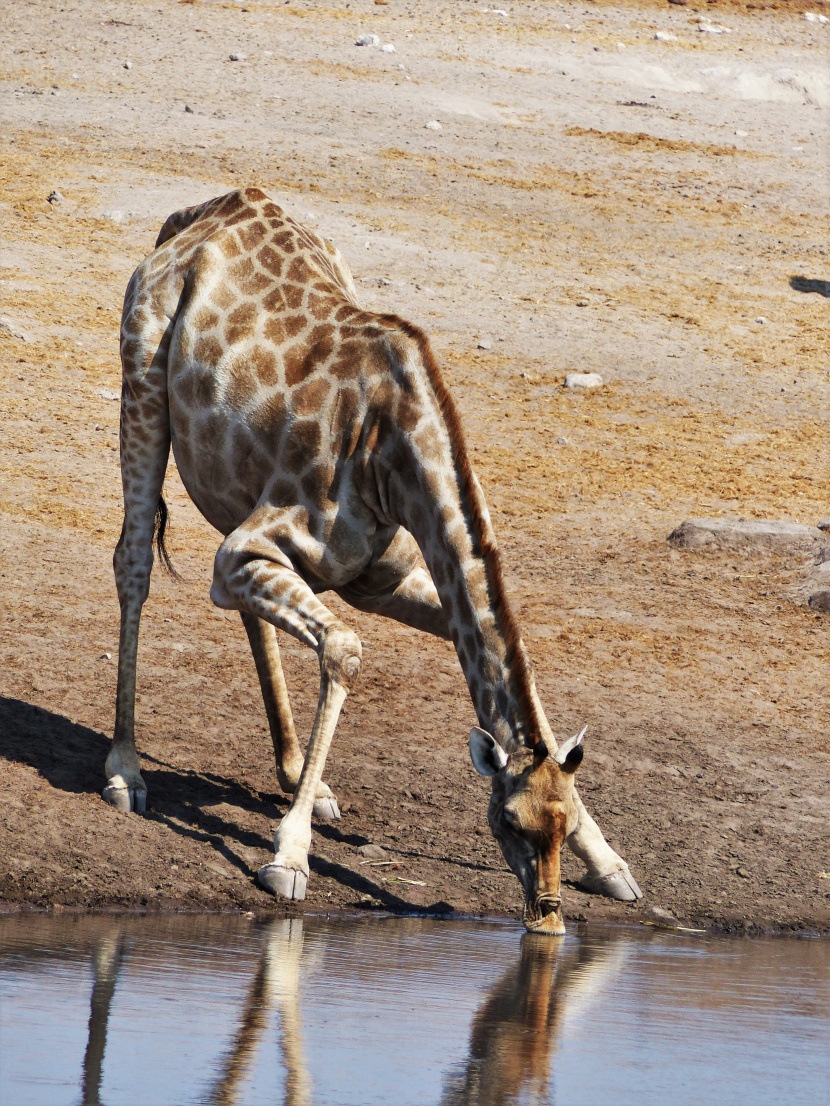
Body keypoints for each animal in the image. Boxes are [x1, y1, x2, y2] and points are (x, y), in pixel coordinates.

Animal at [107, 190, 641, 933]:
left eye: (560, 825)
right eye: (508, 821)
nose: (546, 918)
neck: (395, 455)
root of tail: (194, 218)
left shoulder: (375, 578)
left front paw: (612, 862)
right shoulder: (251, 548)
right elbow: (344, 650)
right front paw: (289, 857)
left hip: (229, 472)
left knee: (243, 611)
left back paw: (300, 773)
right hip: (143, 379)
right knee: (133, 560)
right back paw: (125, 771)